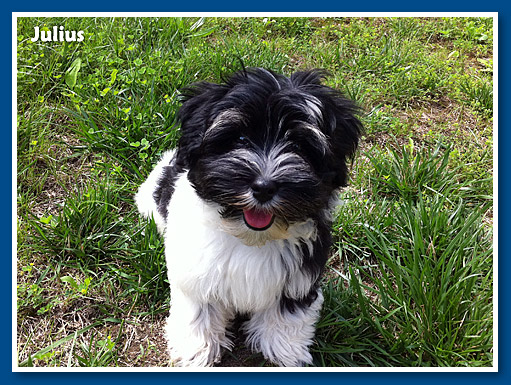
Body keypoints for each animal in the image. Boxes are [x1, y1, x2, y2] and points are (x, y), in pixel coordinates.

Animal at [134, 69, 362, 366]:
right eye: (241, 140)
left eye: (299, 146)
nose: (264, 187)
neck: (250, 237)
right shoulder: (196, 273)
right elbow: (198, 311)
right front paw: (197, 350)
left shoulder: (299, 276)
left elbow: (288, 312)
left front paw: (284, 349)